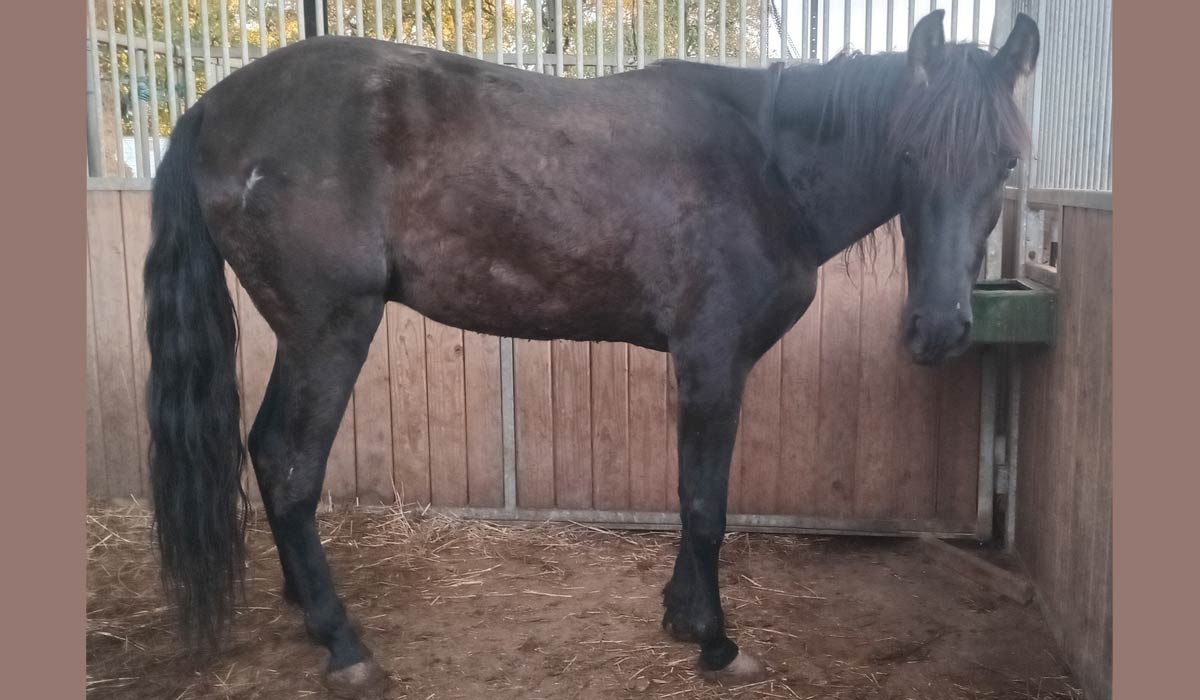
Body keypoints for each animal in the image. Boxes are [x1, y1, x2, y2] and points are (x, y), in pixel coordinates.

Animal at [143, 10, 1038, 696]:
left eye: (1007, 162)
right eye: (910, 153)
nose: (940, 330)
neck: (766, 164)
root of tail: (213, 107)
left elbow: (693, 497)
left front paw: (682, 615)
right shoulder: (712, 359)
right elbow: (704, 502)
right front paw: (717, 643)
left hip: (303, 333)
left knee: (266, 451)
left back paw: (306, 610)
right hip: (331, 327)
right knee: (291, 462)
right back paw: (343, 642)